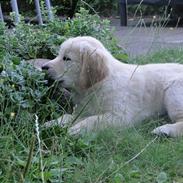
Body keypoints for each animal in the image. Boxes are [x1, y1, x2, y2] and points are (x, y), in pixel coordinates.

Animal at [41, 36, 183, 137]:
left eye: (67, 58)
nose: (43, 67)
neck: (96, 86)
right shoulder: (83, 110)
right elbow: (69, 117)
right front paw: (50, 124)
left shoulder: (120, 115)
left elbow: (93, 120)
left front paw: (75, 130)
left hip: (173, 93)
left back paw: (164, 130)